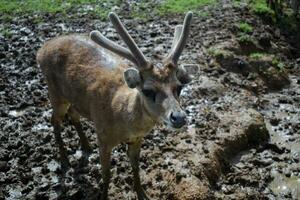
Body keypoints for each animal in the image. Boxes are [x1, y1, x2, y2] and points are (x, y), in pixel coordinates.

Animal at [36, 11, 197, 200]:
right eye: (147, 90)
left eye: (179, 87)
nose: (178, 117)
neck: (122, 121)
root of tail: (42, 49)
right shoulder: (103, 137)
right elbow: (106, 174)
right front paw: (104, 195)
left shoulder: (137, 139)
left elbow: (135, 166)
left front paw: (143, 194)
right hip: (55, 92)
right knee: (54, 120)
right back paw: (65, 160)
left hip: (73, 97)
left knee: (73, 114)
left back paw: (86, 147)